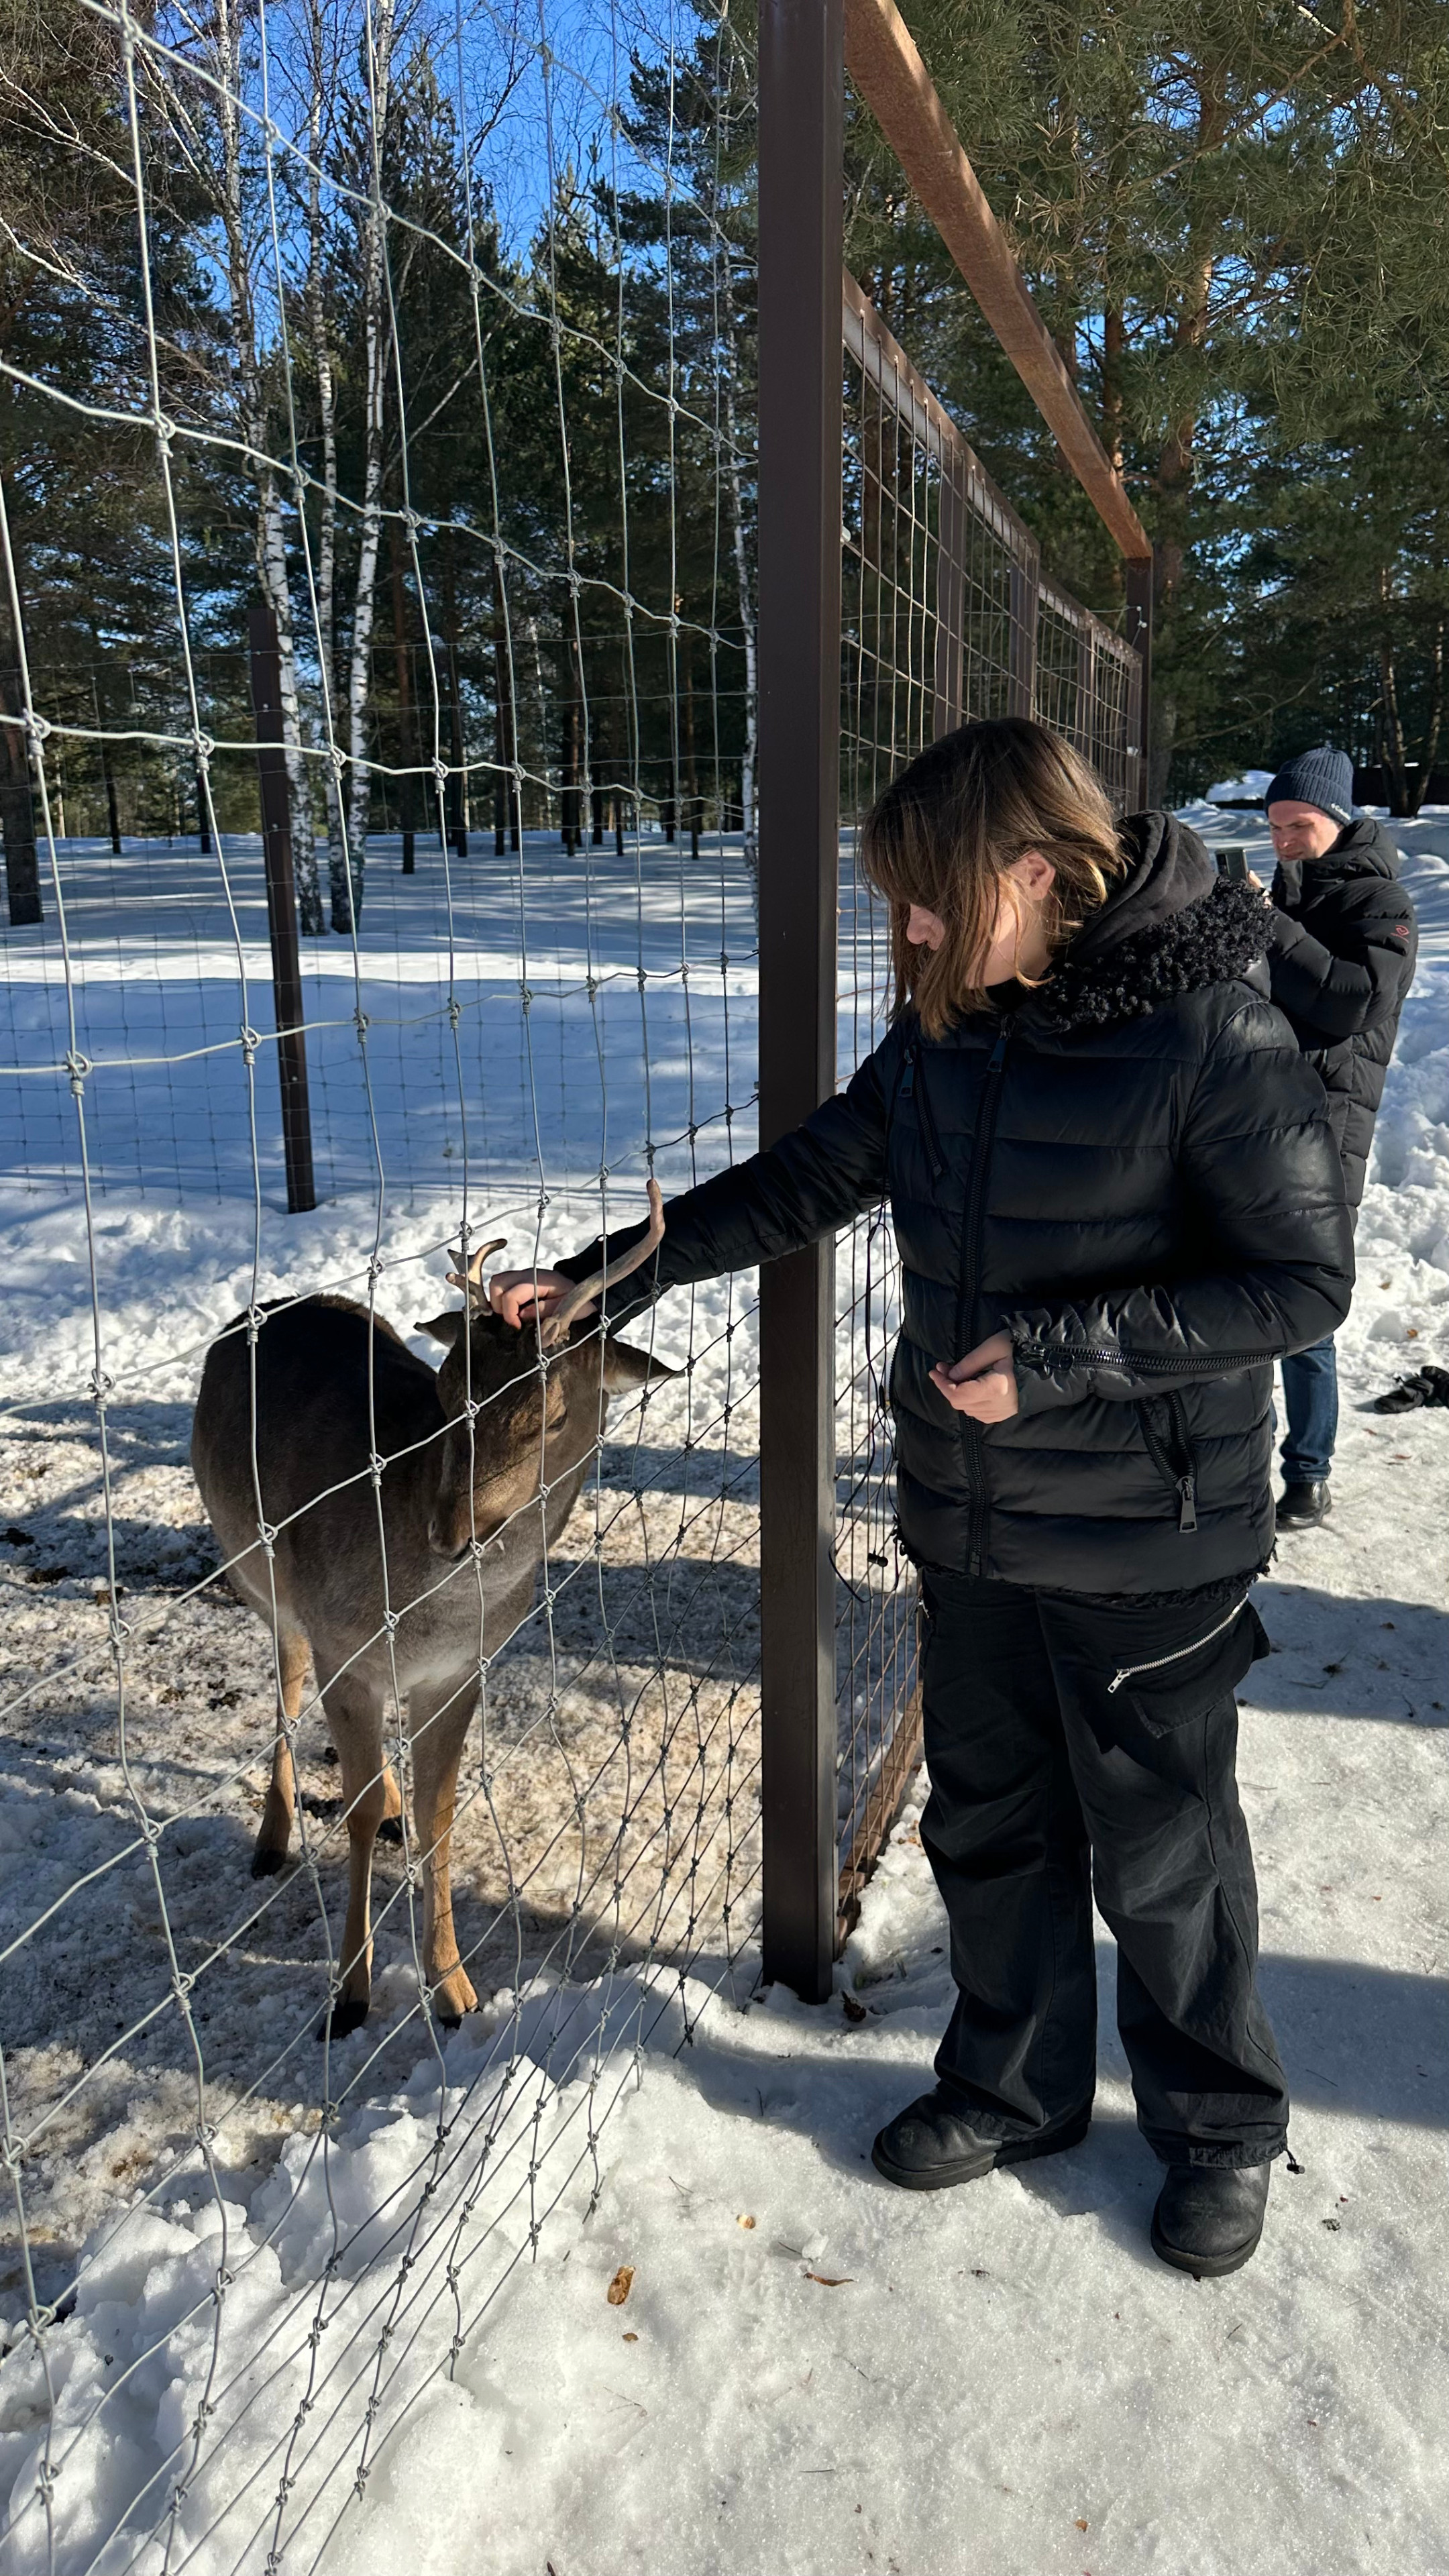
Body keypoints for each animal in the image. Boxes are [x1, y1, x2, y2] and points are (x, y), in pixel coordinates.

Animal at [189, 1195, 670, 2040]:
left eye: (551, 1418)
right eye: (446, 1392)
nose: (448, 1532)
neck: (430, 1614)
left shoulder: (458, 1671)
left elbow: (437, 1812)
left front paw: (456, 1991)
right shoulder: (342, 1647)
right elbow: (352, 1812)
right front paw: (350, 1997)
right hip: (259, 1576)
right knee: (284, 1689)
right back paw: (272, 1841)